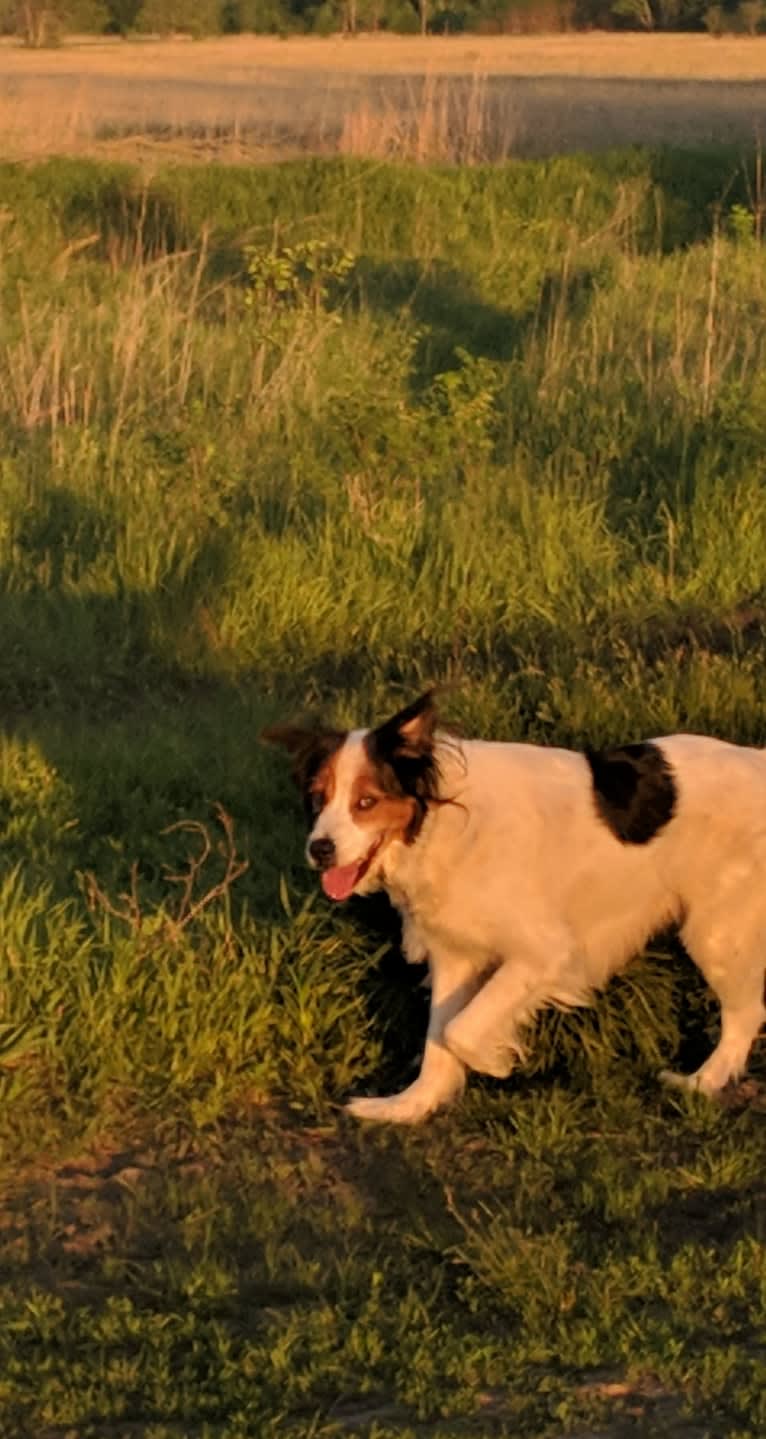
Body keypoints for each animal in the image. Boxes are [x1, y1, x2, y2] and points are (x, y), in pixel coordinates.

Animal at [264, 693, 766, 1122]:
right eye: (318, 798)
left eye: (366, 802)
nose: (319, 849)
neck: (445, 824)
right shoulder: (455, 956)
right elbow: (438, 1035)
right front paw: (409, 1106)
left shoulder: (544, 954)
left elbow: (459, 1030)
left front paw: (496, 1062)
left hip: (715, 933)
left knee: (745, 1014)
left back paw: (702, 1083)